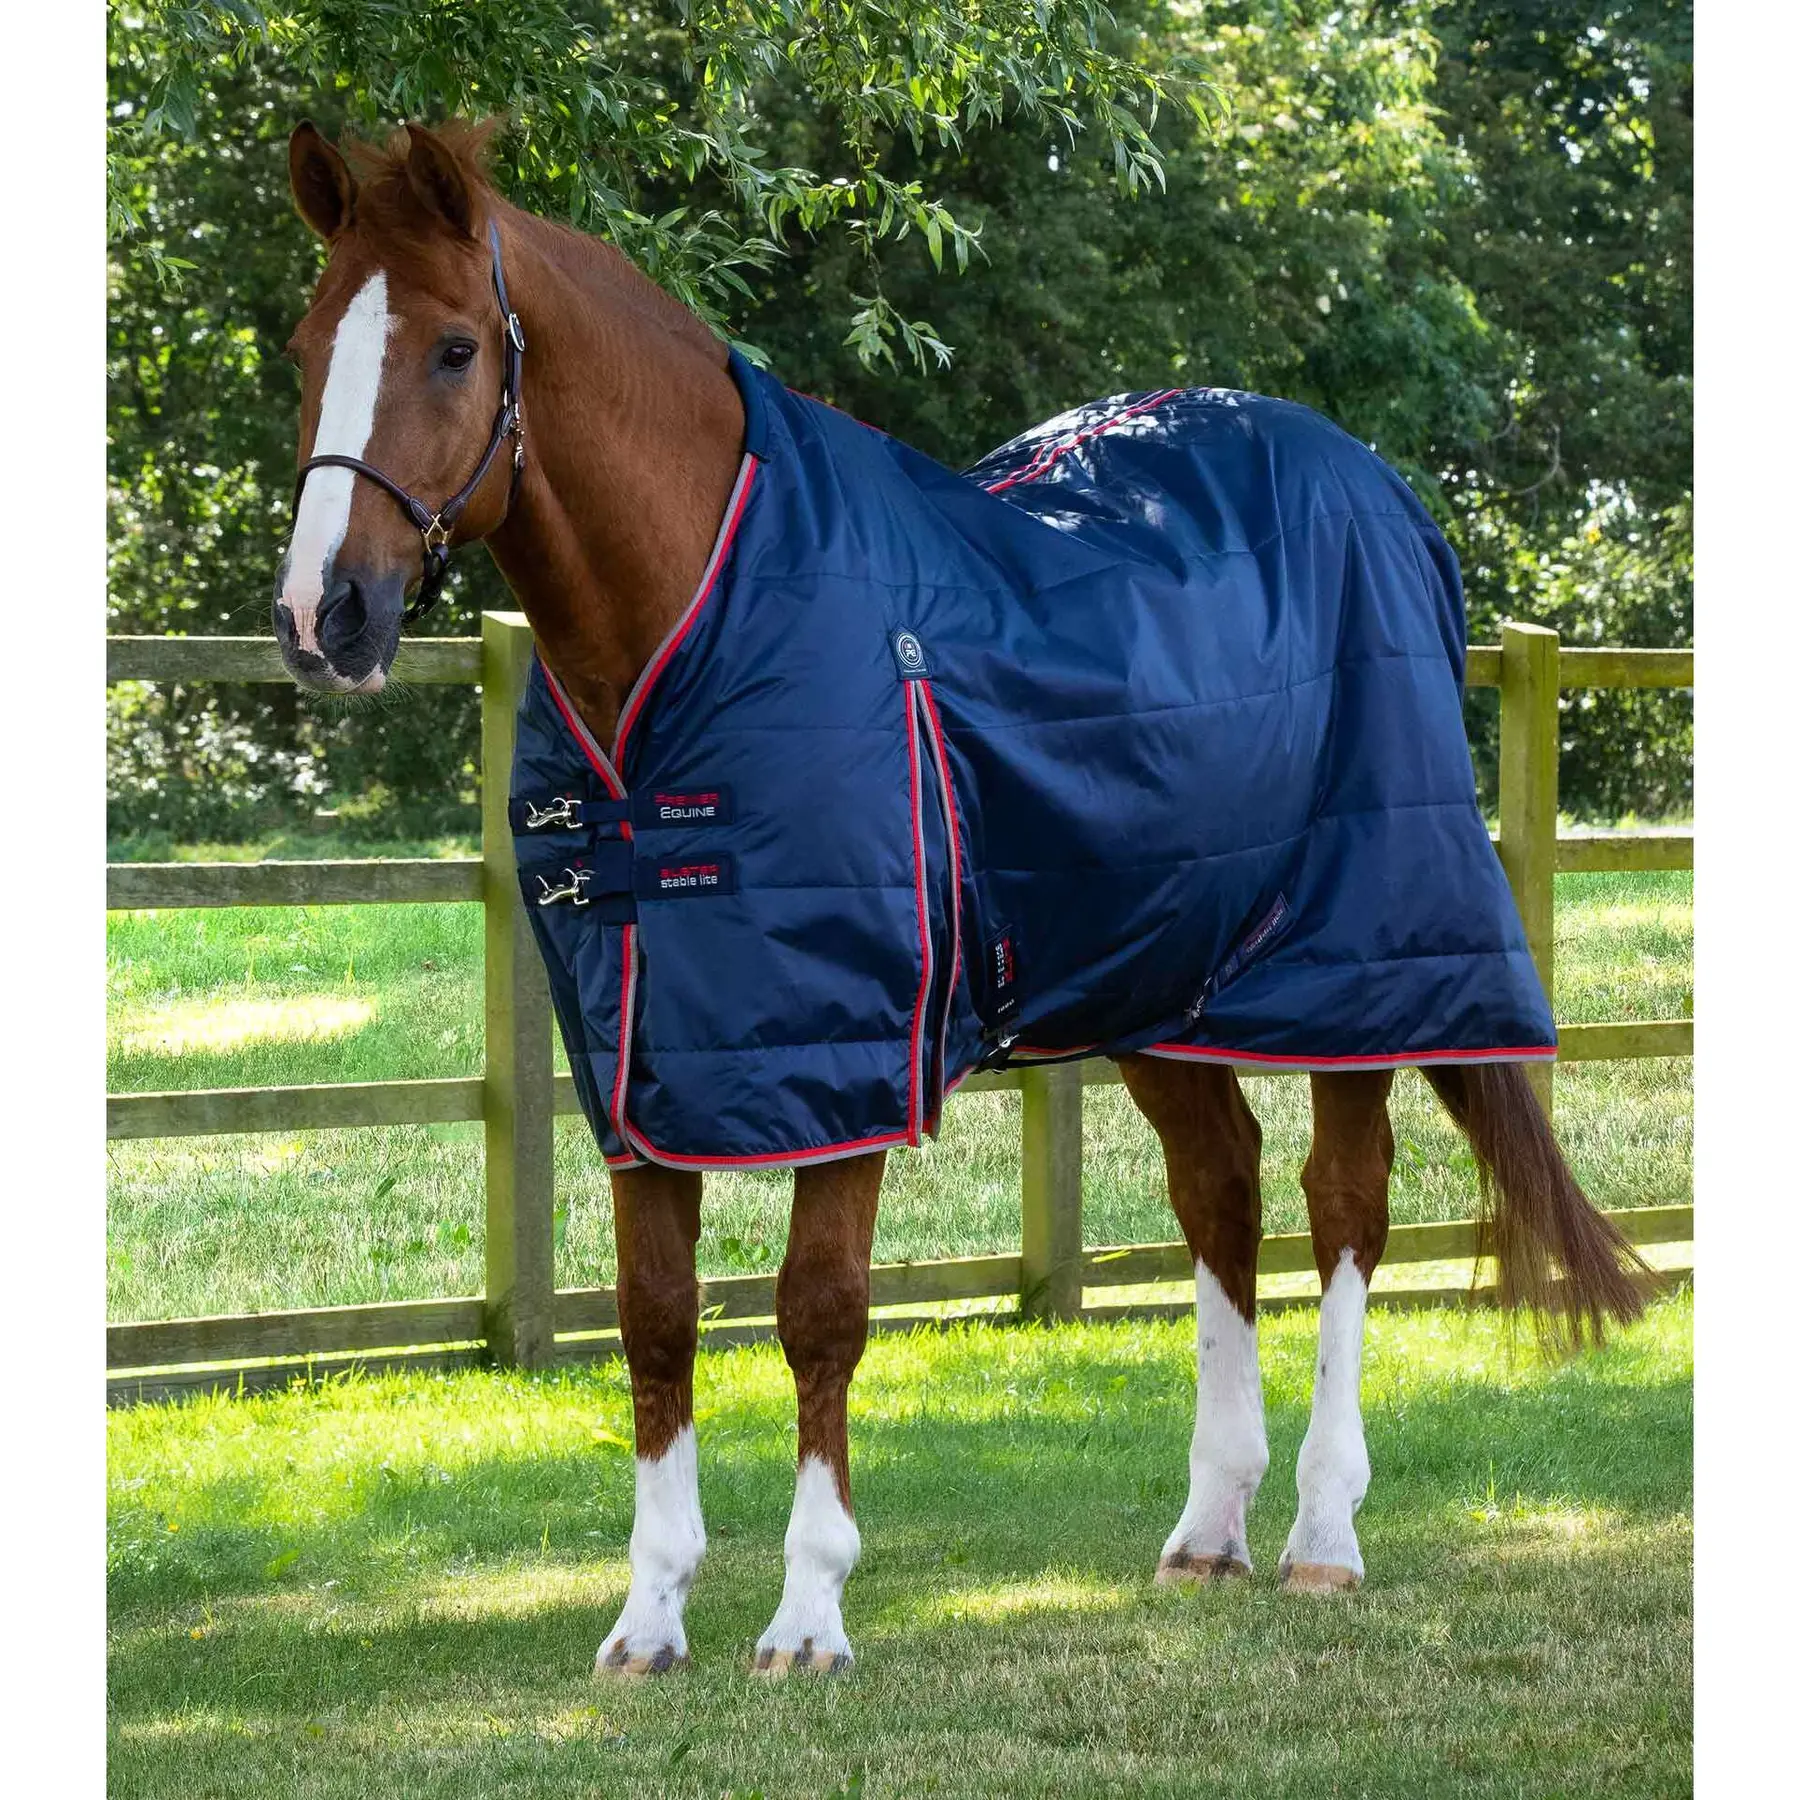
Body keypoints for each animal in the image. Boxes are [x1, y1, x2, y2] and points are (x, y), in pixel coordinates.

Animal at [272, 118, 1647, 1677]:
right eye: (310, 342)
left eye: (454, 348)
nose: (325, 616)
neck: (697, 621)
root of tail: (1389, 499)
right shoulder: (643, 1059)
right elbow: (654, 1318)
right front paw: (649, 1617)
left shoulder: (850, 1048)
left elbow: (818, 1313)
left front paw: (808, 1614)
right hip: (1156, 976)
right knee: (1221, 1189)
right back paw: (1209, 1529)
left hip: (1357, 970)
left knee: (1342, 1201)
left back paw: (1320, 1534)